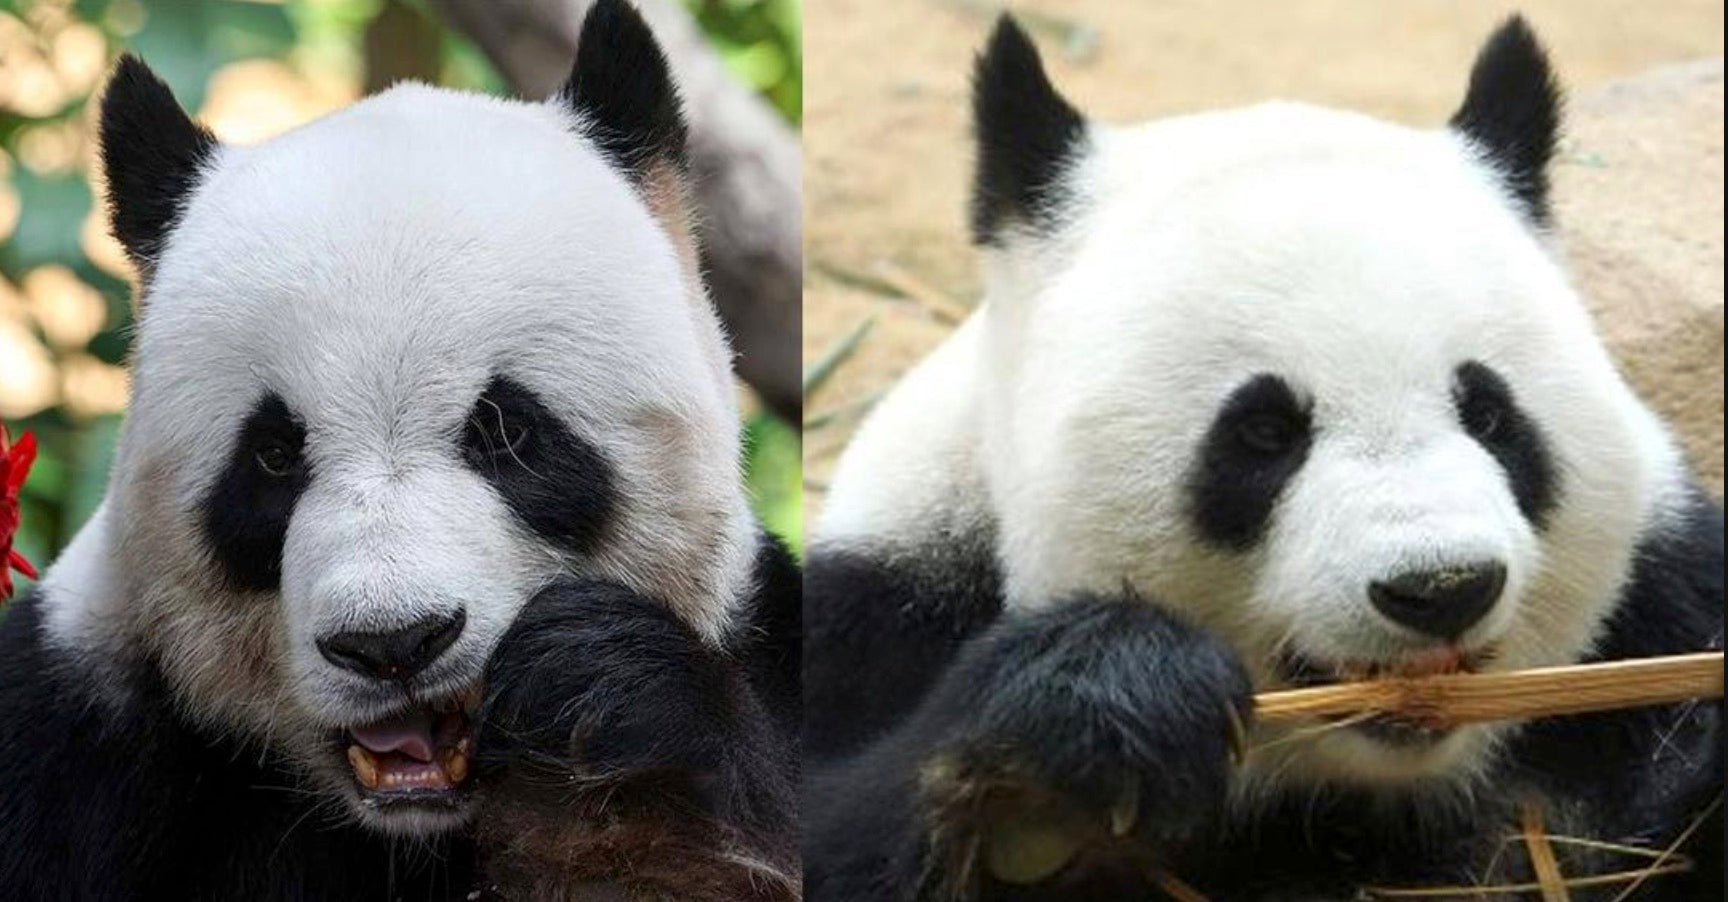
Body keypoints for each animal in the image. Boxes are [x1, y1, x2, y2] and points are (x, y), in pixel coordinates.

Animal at [0, 2, 799, 899]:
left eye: (507, 432)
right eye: (272, 455)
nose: (392, 645)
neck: (416, 830)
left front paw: (607, 681)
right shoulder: (78, 730)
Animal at [804, 15, 1722, 901]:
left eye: (1492, 415)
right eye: (1265, 433)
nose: (1440, 589)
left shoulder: (1667, 596)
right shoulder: (885, 606)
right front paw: (1090, 726)